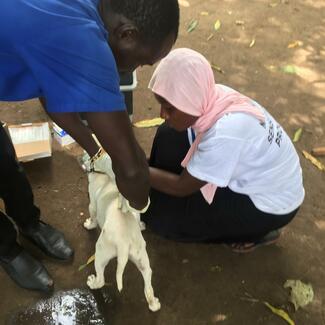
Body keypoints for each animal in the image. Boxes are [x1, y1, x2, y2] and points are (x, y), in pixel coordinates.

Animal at [83, 171, 159, 310]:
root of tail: (124, 243)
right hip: (142, 259)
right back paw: (153, 303)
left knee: (101, 279)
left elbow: (92, 217)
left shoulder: (92, 206)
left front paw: (89, 225)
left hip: (101, 254)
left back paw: (93, 283)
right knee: (148, 283)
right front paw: (141, 225)